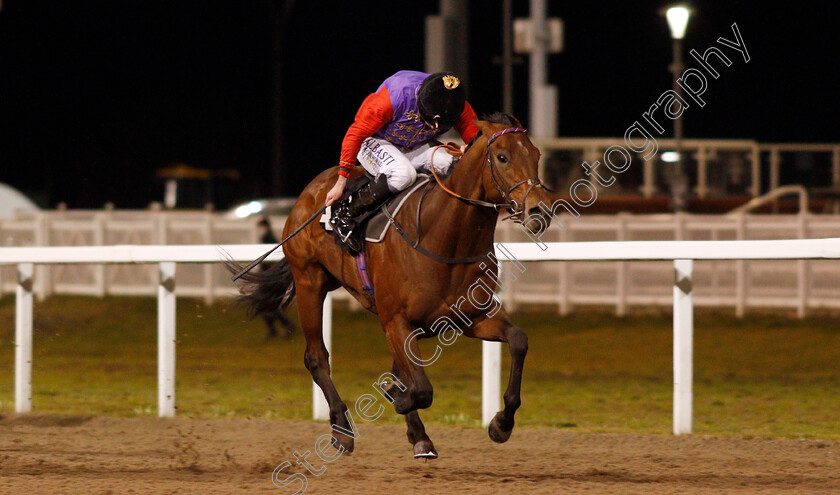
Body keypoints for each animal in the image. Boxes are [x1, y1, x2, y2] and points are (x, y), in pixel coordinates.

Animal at [233, 114, 556, 460]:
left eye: (536, 155)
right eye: (503, 157)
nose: (540, 209)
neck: (444, 238)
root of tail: (310, 193)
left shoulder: (470, 317)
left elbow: (518, 340)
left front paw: (501, 423)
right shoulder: (396, 320)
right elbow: (420, 388)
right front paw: (398, 400)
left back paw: (418, 434)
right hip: (310, 282)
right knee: (317, 357)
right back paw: (342, 430)